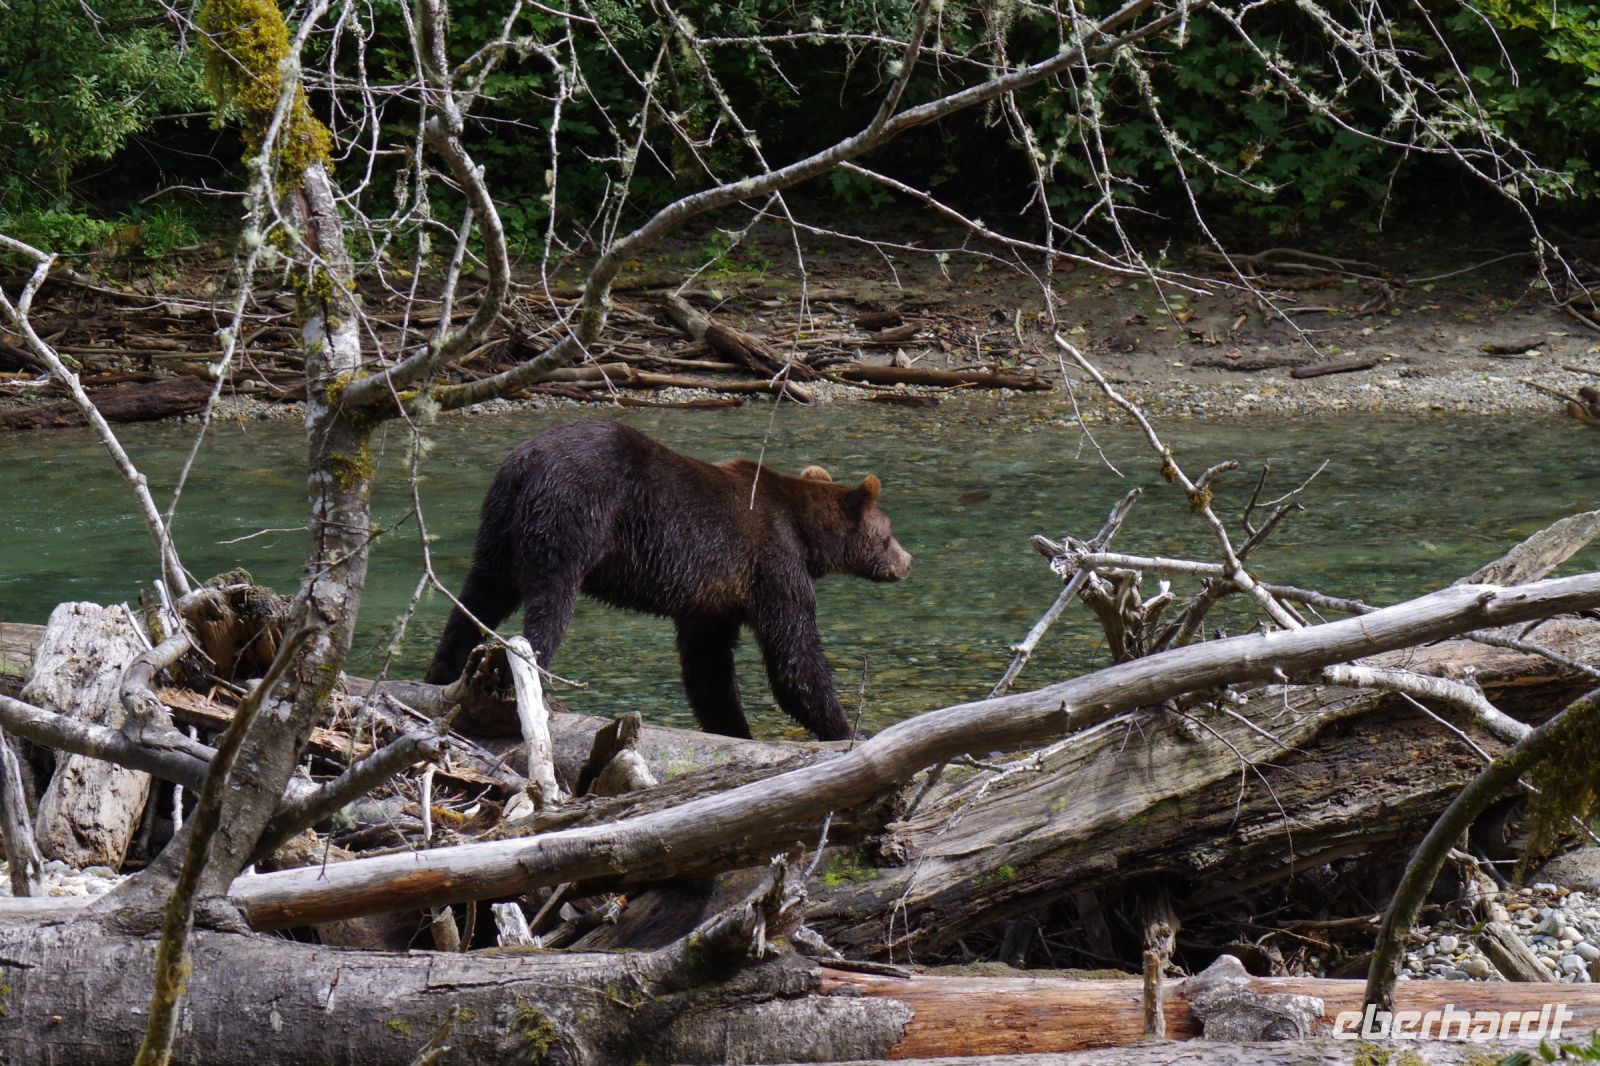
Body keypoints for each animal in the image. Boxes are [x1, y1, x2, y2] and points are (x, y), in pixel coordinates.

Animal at [424, 420, 913, 740]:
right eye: (888, 534)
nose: (908, 560)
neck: (806, 533)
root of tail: (525, 464)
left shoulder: (714, 596)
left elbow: (708, 668)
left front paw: (732, 727)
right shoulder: (772, 562)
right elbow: (794, 655)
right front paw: (845, 728)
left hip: (500, 525)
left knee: (479, 594)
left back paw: (443, 673)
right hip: (572, 515)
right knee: (548, 606)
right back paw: (537, 690)